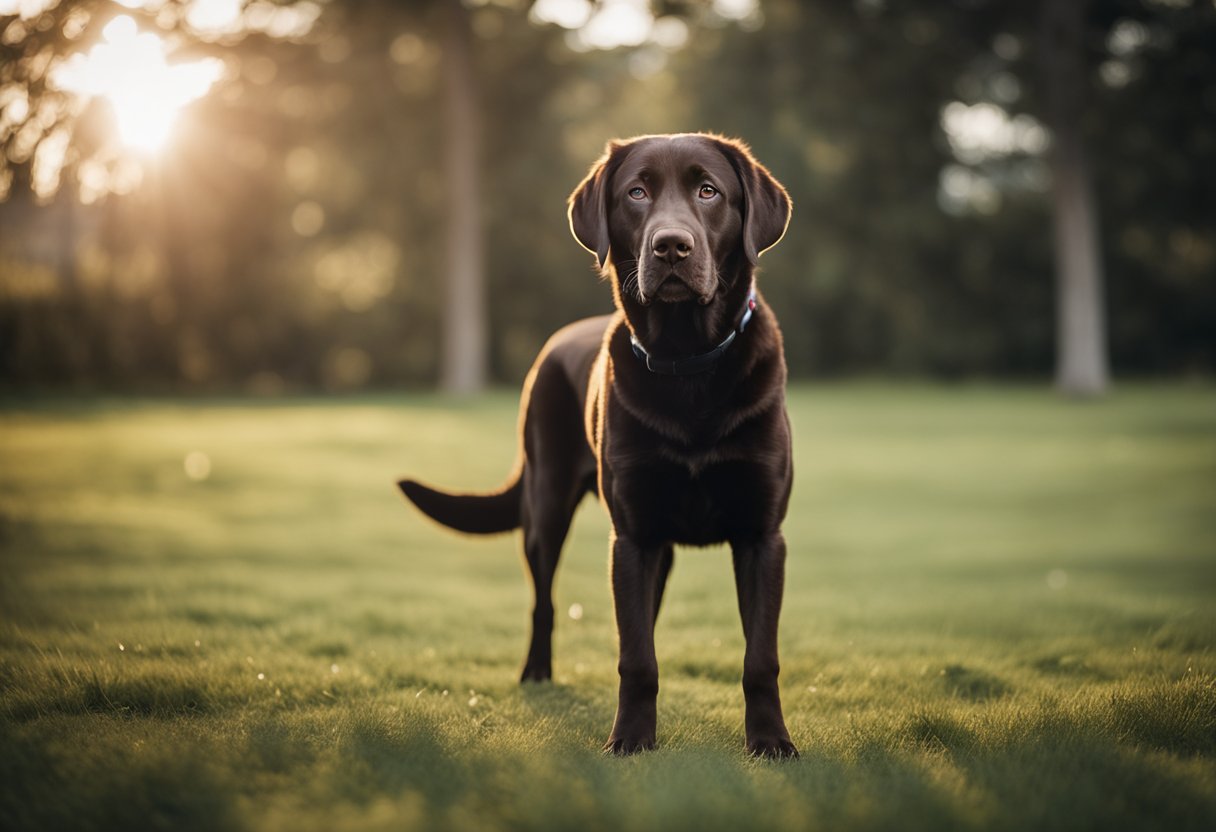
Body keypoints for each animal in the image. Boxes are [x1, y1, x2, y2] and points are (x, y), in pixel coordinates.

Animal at [398, 131, 797, 759]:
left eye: (709, 190)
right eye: (637, 193)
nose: (671, 246)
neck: (688, 364)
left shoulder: (762, 537)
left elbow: (760, 658)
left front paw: (771, 742)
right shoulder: (630, 537)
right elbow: (636, 658)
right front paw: (630, 739)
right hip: (546, 510)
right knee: (544, 601)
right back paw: (536, 673)